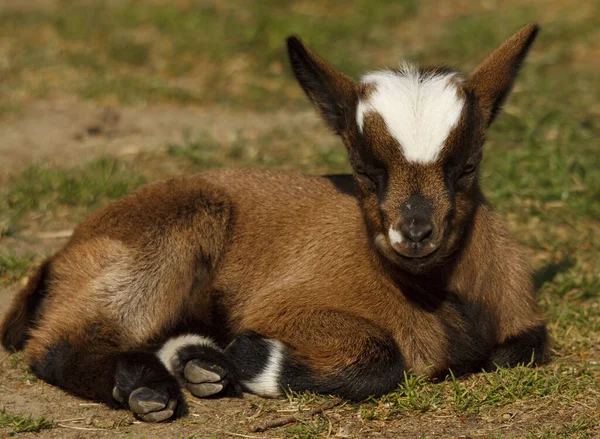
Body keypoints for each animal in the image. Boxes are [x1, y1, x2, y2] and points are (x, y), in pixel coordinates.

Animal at [0, 24, 548, 422]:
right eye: (364, 170)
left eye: (468, 166)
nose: (414, 234)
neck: (434, 295)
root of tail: (64, 252)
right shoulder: (285, 304)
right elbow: (381, 359)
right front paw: (244, 355)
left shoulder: (522, 324)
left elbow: (520, 350)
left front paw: (215, 360)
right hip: (171, 227)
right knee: (59, 344)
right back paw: (151, 389)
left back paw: (195, 364)